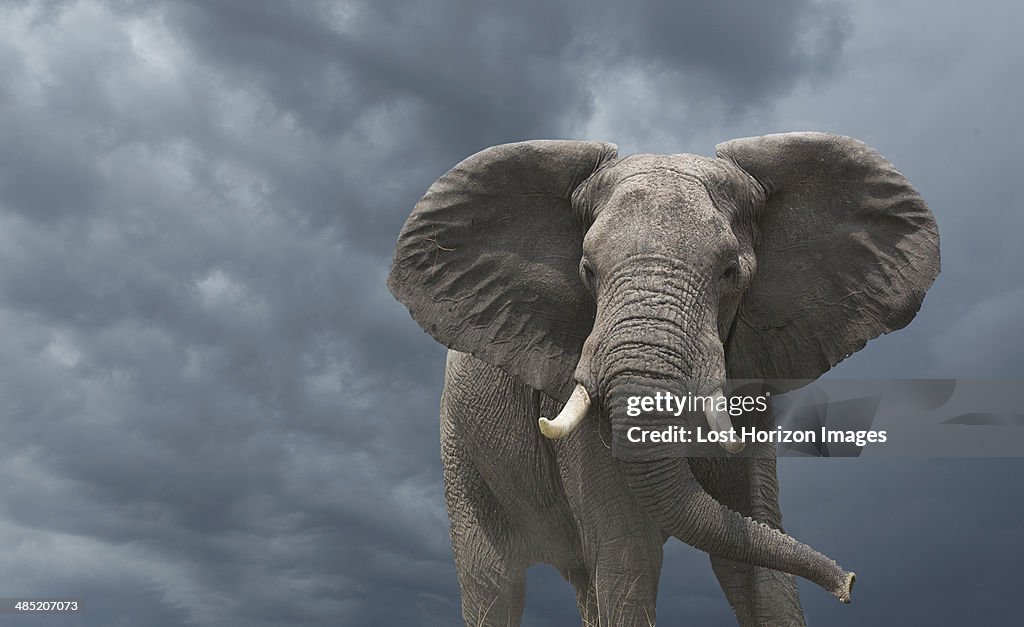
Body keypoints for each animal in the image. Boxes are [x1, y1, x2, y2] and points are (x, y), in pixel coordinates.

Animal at [387, 131, 937, 622]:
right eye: (587, 270)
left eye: (730, 272)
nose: (850, 584)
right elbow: (630, 556)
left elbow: (756, 561)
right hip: (459, 448)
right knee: (495, 585)